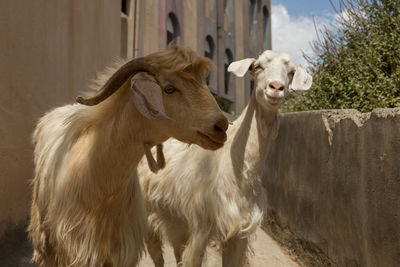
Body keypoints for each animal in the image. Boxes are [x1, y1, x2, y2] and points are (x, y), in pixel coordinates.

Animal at [138, 50, 312, 267]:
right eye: (258, 67)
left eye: (290, 72)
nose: (276, 88)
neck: (238, 169)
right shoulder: (200, 227)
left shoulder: (239, 232)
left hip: (175, 221)